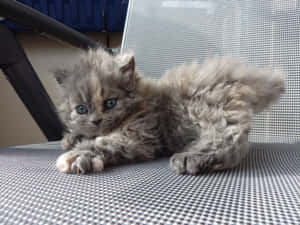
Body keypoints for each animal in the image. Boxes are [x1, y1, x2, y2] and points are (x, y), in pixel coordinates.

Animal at [54, 48, 284, 176]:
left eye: (110, 103)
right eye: (81, 109)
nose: (96, 120)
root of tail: (235, 75)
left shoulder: (140, 136)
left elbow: (104, 142)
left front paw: (77, 155)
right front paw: (71, 139)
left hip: (205, 110)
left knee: (229, 140)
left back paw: (190, 157)